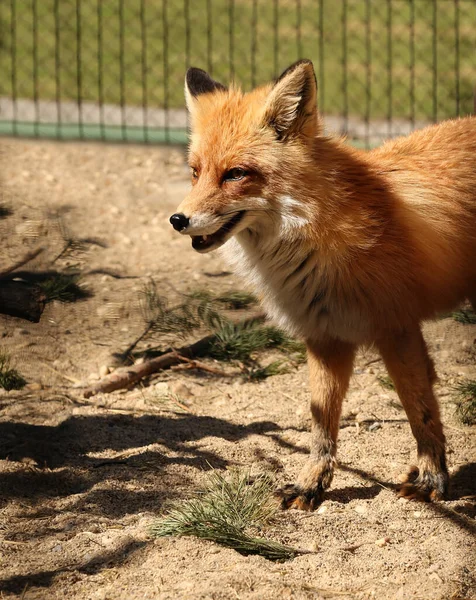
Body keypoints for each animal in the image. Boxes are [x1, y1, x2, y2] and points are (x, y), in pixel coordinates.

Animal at [170, 61, 476, 508]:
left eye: (236, 174)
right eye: (195, 173)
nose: (178, 220)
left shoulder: (397, 328)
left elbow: (421, 409)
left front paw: (431, 478)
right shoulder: (324, 335)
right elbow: (322, 424)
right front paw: (312, 483)